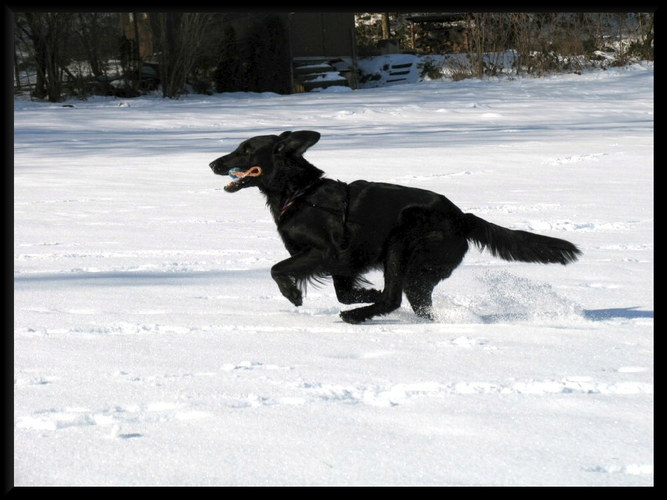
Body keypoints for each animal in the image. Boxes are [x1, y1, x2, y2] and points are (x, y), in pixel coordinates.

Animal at [209, 130, 580, 324]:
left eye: (245, 149)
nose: (213, 163)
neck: (300, 192)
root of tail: (461, 217)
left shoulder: (326, 252)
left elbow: (277, 269)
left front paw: (293, 294)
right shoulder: (345, 262)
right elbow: (344, 290)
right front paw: (365, 293)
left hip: (401, 242)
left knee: (394, 297)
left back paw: (357, 316)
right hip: (418, 270)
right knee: (414, 302)